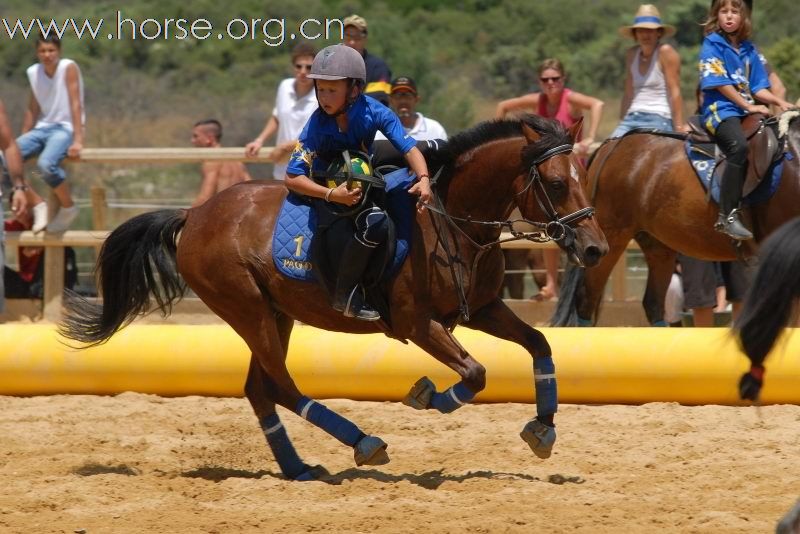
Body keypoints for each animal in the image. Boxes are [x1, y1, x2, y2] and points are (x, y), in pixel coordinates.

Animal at [59, 116, 608, 482]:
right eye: (556, 184)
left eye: (585, 176)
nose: (595, 248)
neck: (451, 219)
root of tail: (194, 214)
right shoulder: (415, 323)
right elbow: (475, 374)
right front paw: (426, 394)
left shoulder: (484, 309)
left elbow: (539, 344)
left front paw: (543, 429)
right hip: (249, 310)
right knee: (281, 386)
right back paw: (363, 442)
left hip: (274, 314)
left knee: (260, 389)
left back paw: (298, 468)